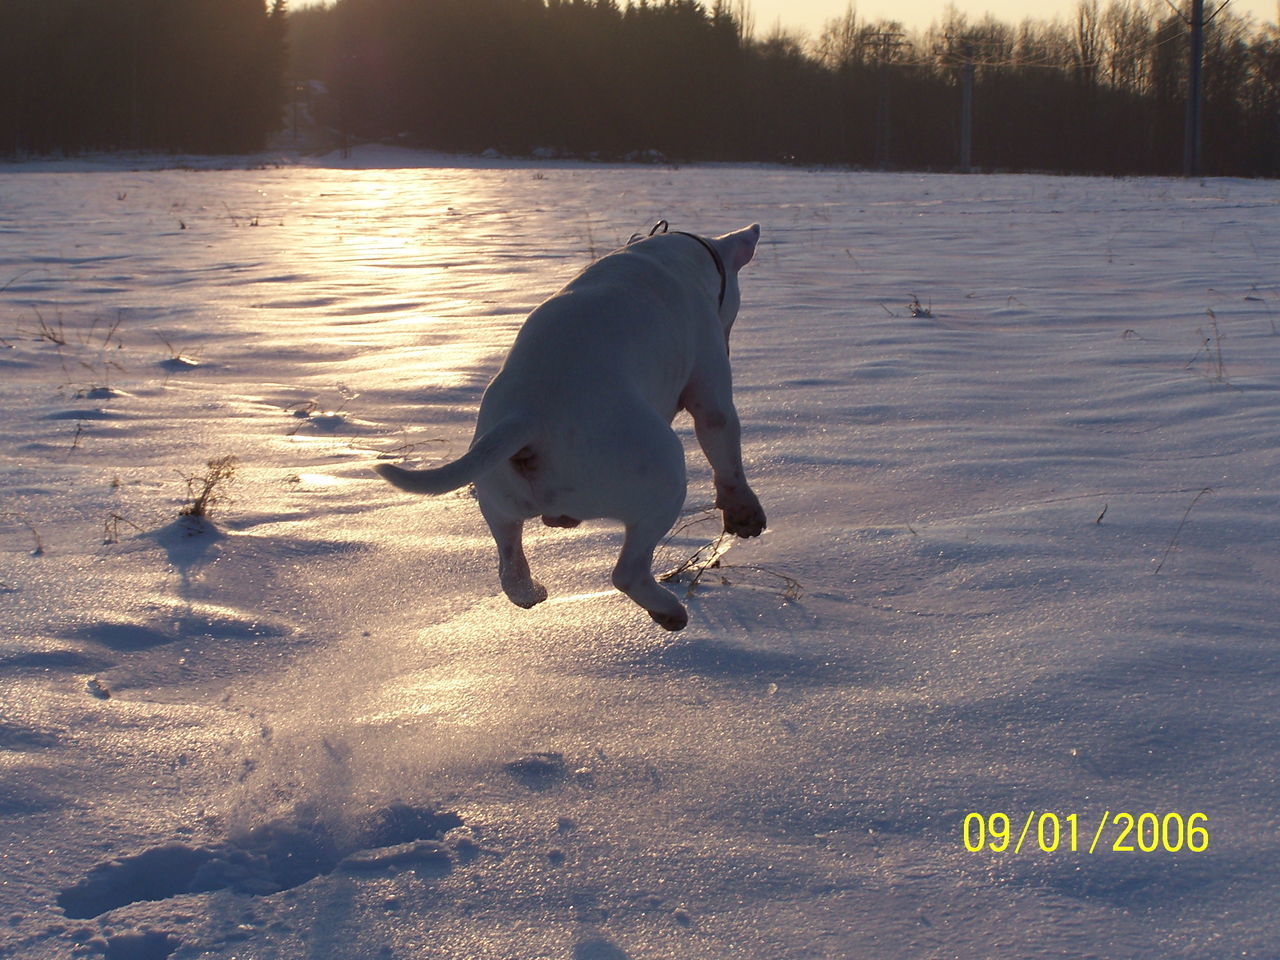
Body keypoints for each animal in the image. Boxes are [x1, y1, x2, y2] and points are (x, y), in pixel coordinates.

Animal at [373, 225, 762, 632]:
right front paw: (744, 513)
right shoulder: (711, 396)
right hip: (662, 481)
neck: (677, 253)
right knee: (628, 572)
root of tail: (529, 418)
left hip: (497, 499)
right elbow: (725, 451)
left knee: (510, 565)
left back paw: (532, 591)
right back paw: (668, 611)